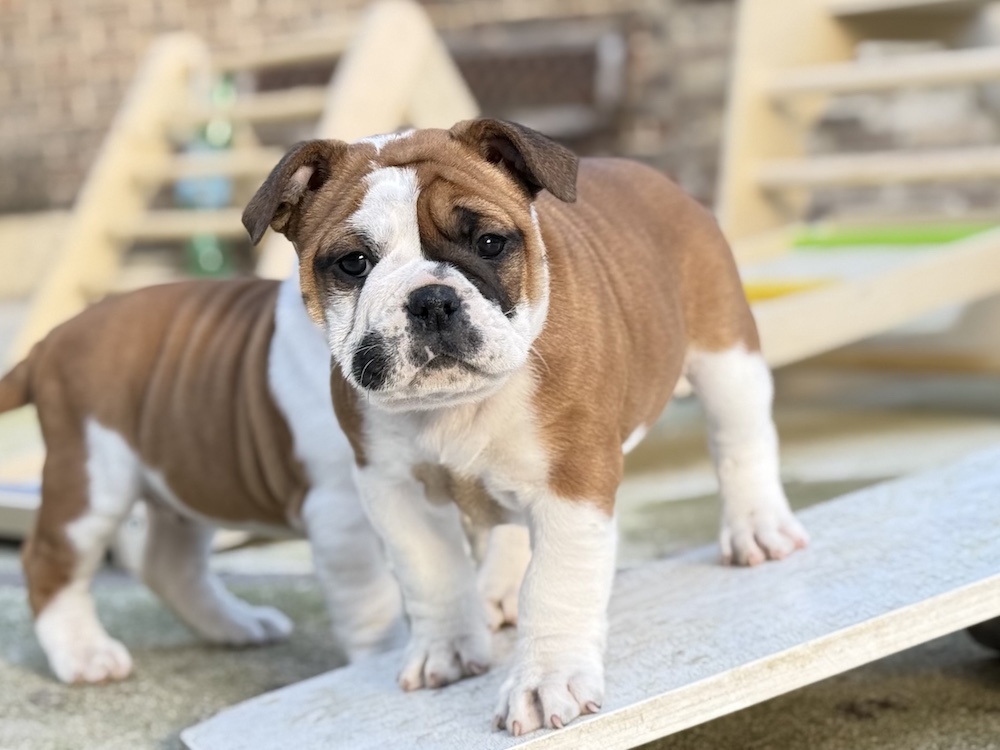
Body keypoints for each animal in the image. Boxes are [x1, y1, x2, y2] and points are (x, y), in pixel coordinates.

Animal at [241, 119, 809, 735]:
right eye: (353, 262)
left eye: (490, 243)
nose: (431, 300)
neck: (457, 404)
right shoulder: (391, 488)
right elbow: (431, 570)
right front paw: (445, 648)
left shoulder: (573, 481)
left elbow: (556, 583)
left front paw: (546, 680)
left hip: (726, 355)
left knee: (740, 438)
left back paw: (757, 527)